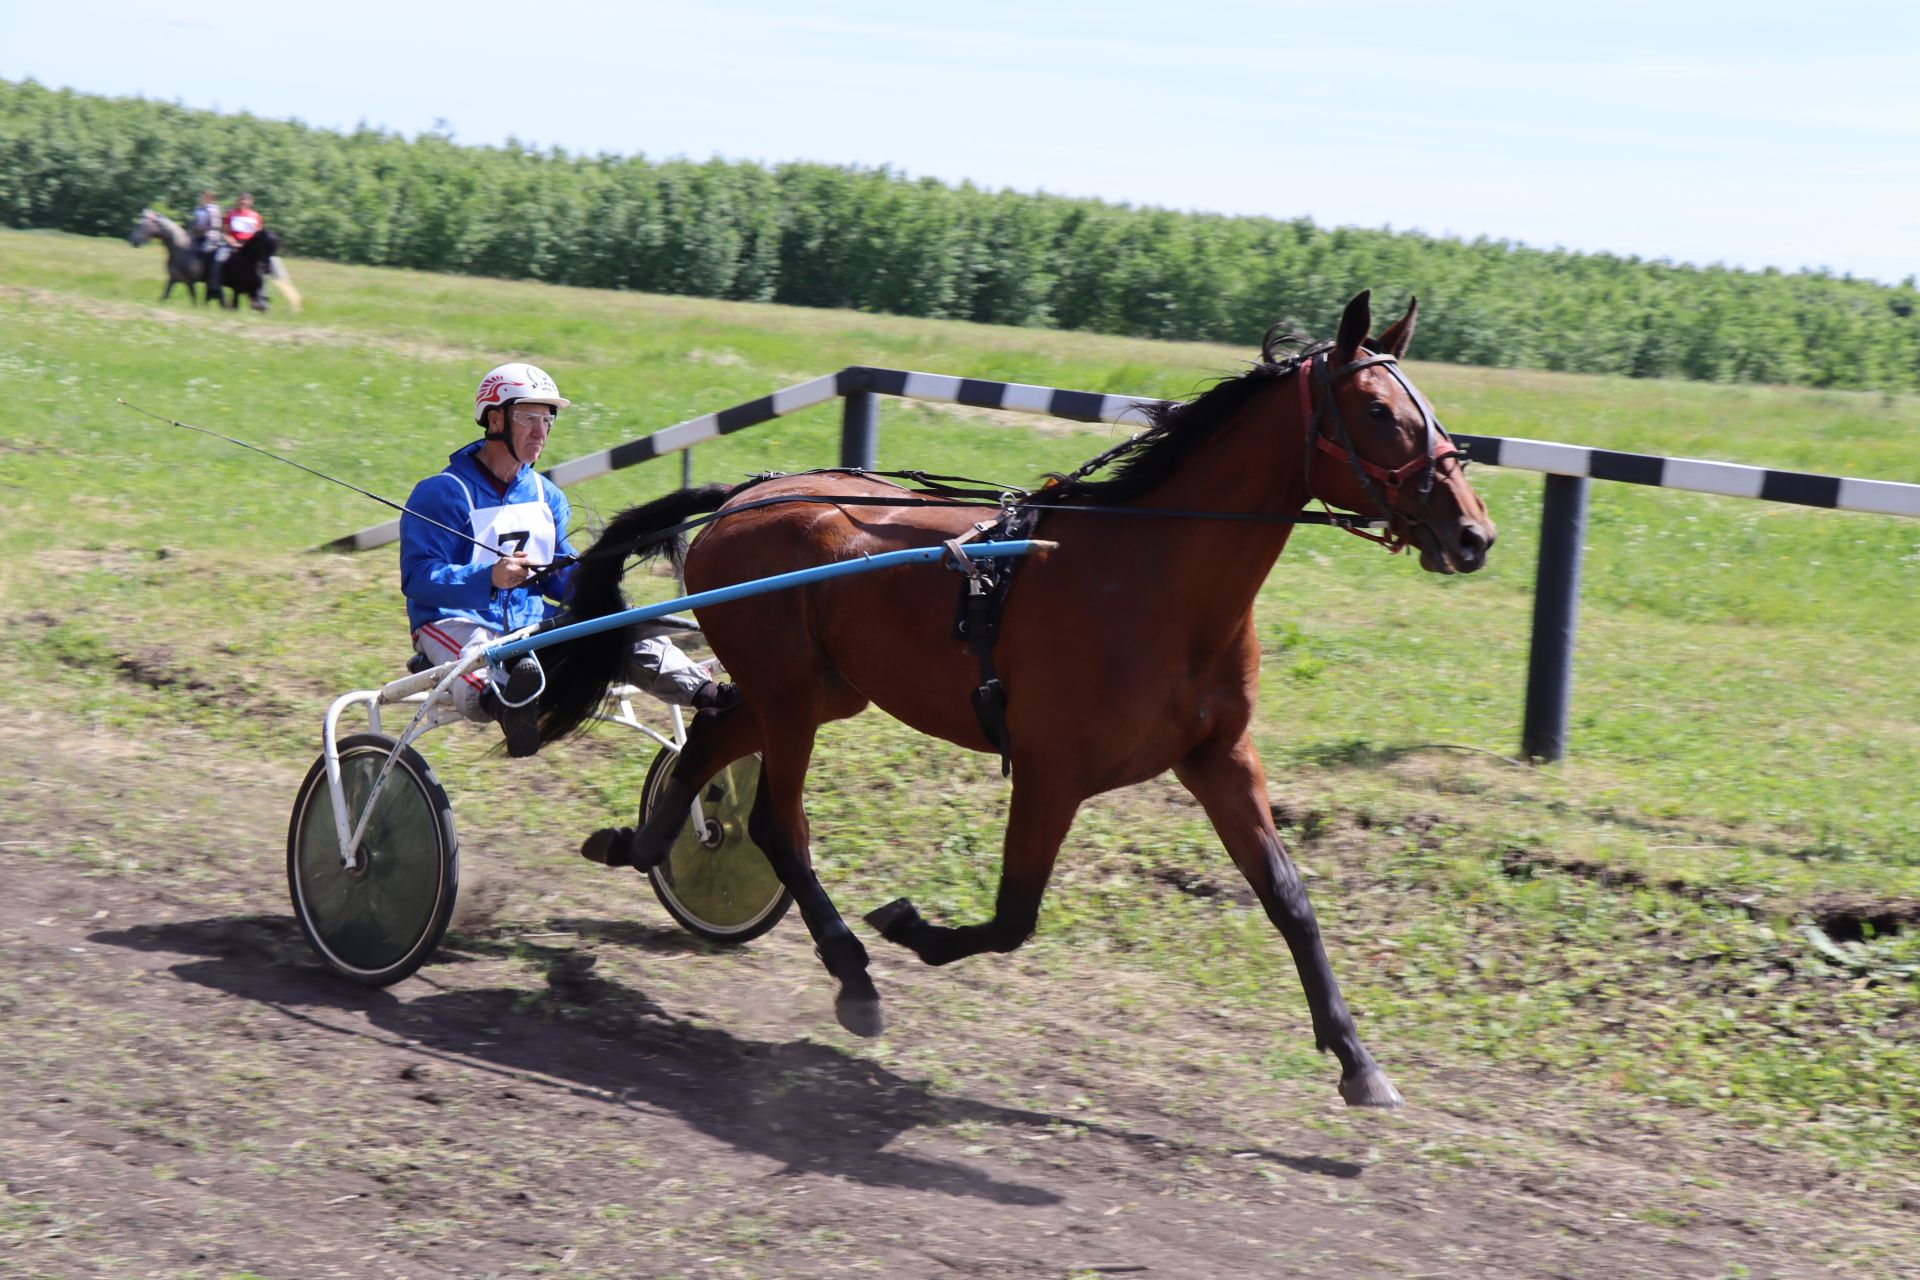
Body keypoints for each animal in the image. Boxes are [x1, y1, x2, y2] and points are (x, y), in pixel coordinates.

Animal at [533, 293, 1489, 1113]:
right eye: (1378, 412)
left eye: (1433, 410)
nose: (1473, 532)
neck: (1154, 583)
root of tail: (747, 493)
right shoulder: (1050, 767)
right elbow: (1014, 915)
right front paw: (910, 926)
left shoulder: (1220, 757)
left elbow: (1289, 899)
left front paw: (1359, 1061)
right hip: (794, 696)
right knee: (777, 822)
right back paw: (851, 970)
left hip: (818, 691)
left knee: (709, 743)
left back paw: (640, 843)